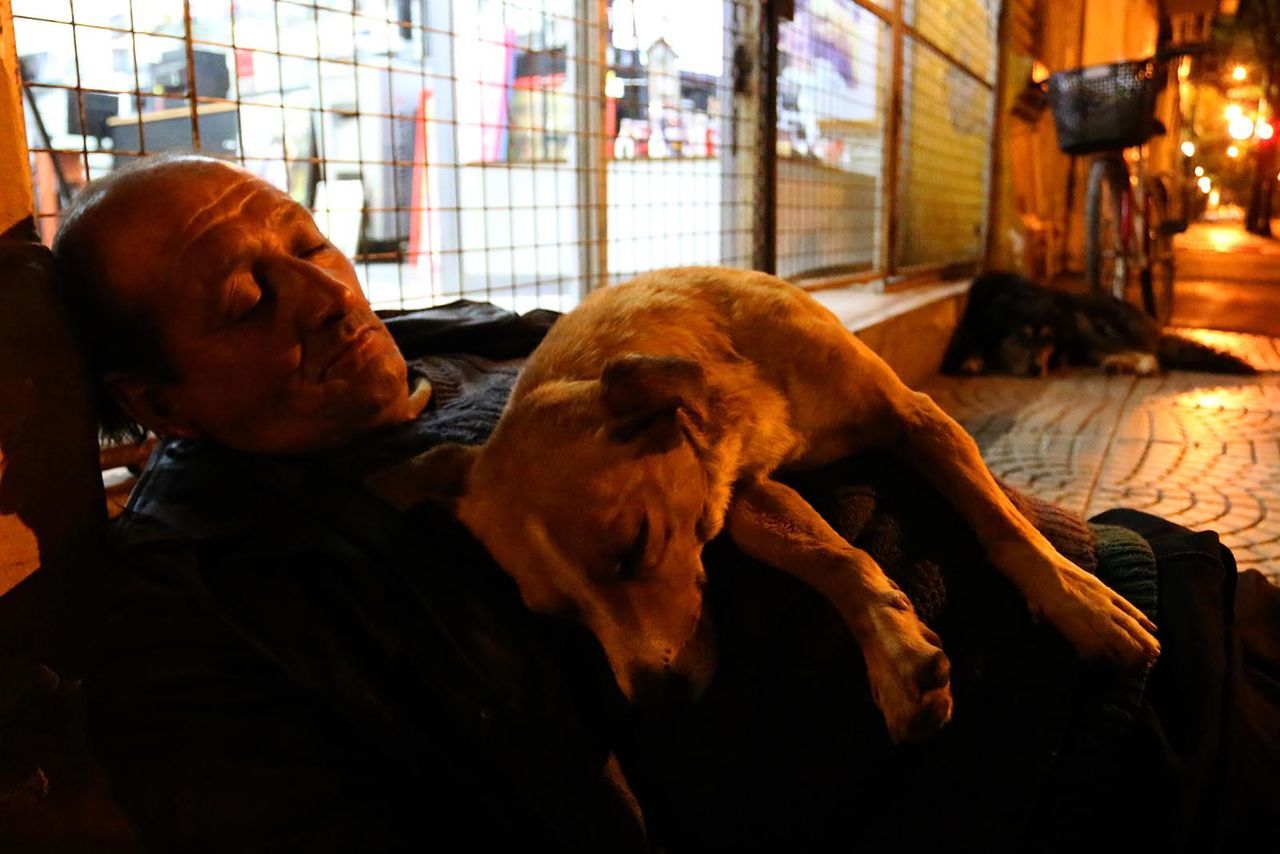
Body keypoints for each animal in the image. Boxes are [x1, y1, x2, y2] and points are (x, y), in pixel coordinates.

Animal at [371, 270, 1162, 742]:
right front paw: (896, 652)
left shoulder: (917, 417)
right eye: (555, 618)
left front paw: (1083, 605)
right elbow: (836, 559)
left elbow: (1004, 524)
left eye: (637, 546)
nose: (657, 709)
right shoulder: (742, 492)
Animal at [947, 272, 1254, 378]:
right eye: (1021, 337)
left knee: (1149, 355)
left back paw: (1140, 366)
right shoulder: (973, 323)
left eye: (1047, 339)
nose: (1038, 369)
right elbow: (970, 343)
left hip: (1086, 323)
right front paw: (972, 360)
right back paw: (1116, 364)